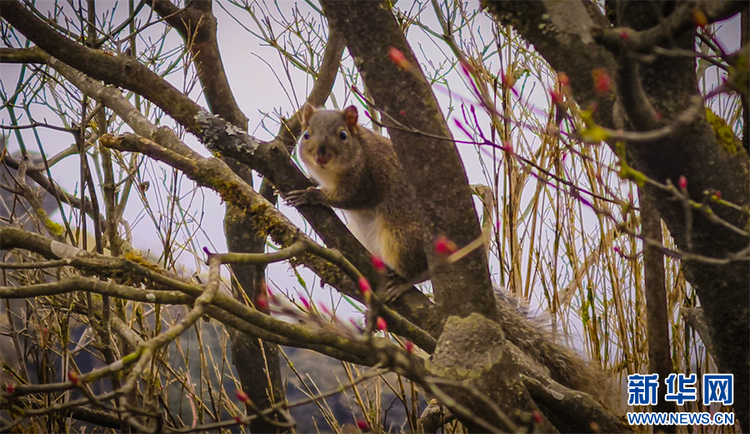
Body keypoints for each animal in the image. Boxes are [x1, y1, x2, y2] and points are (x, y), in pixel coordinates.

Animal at [286, 105, 612, 404]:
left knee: (417, 269)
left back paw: (400, 281)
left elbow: (352, 197)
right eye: (306, 134)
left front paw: (312, 194)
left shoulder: (365, 176)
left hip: (402, 238)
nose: (320, 155)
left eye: (342, 135)